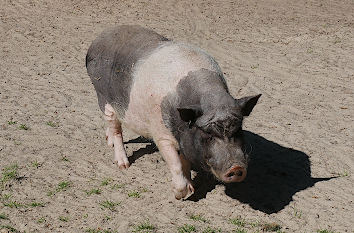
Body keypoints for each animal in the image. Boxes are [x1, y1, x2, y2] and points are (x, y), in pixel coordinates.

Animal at [86, 25, 260, 199]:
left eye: (238, 131)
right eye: (208, 135)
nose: (236, 168)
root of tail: (98, 39)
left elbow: (185, 161)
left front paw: (191, 188)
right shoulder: (161, 133)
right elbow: (175, 163)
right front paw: (182, 195)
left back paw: (109, 142)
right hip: (104, 98)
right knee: (115, 128)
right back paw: (123, 165)